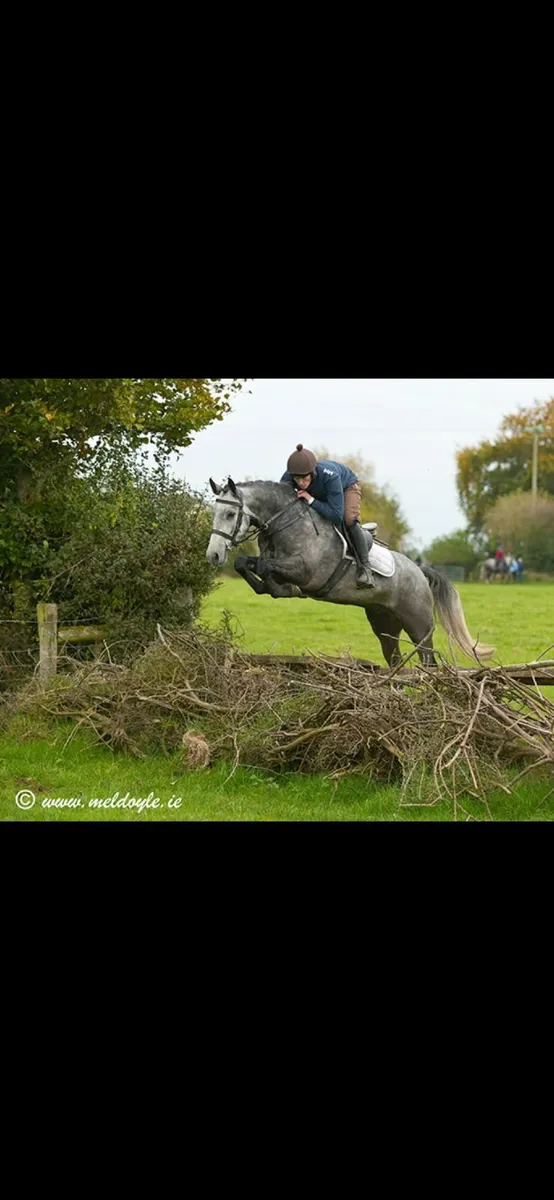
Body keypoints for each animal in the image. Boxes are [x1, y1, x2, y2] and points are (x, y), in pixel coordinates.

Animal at [206, 478, 495, 668]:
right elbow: (244, 563)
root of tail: (419, 571)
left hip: (419, 625)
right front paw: (268, 586)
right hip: (384, 624)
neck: (286, 524)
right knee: (395, 660)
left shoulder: (307, 572)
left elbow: (269, 570)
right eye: (214, 513)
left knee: (428, 662)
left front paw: (283, 588)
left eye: (230, 513)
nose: (214, 555)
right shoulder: (269, 560)